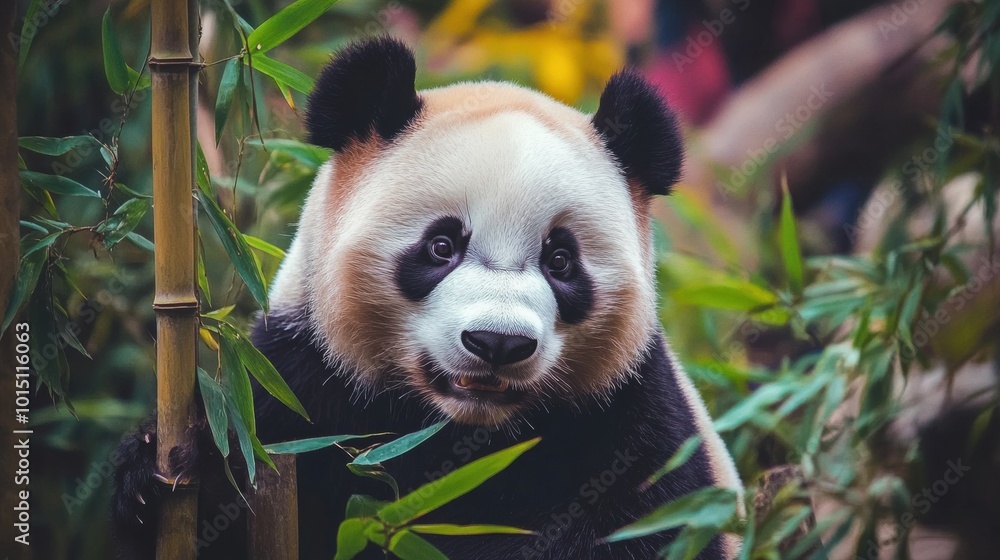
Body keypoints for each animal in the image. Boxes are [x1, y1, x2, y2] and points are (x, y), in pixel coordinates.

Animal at [112, 37, 743, 559]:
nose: (497, 343)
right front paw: (162, 472)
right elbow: (239, 475)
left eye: (560, 260)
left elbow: (642, 526)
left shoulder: (627, 419)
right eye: (442, 246)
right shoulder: (302, 384)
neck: (462, 430)